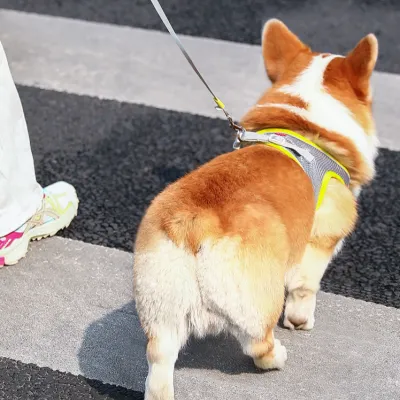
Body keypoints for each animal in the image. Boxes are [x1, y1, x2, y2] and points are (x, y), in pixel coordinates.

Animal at [134, 19, 378, 400]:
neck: (305, 127)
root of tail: (194, 222)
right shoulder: (318, 245)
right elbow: (305, 290)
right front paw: (301, 322)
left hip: (160, 304)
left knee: (159, 358)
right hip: (258, 299)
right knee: (257, 343)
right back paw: (277, 355)